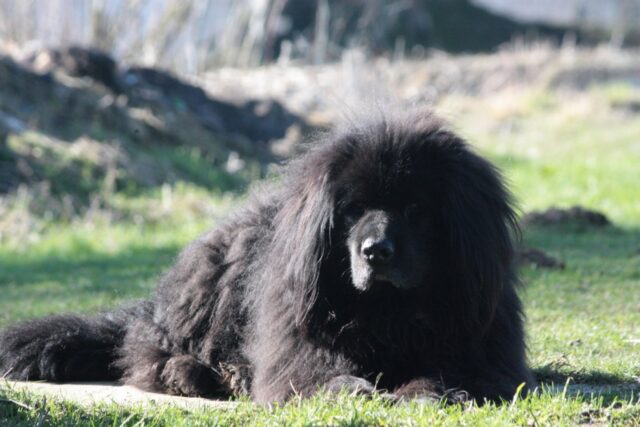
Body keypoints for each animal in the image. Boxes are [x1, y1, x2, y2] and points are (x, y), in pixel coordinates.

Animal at [0, 110, 536, 404]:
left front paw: (423, 390)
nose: (375, 250)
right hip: (209, 284)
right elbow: (312, 370)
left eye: (416, 209)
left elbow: (452, 370)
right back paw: (197, 374)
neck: (389, 310)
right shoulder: (298, 337)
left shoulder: (483, 345)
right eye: (353, 210)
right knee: (146, 350)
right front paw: (351, 387)